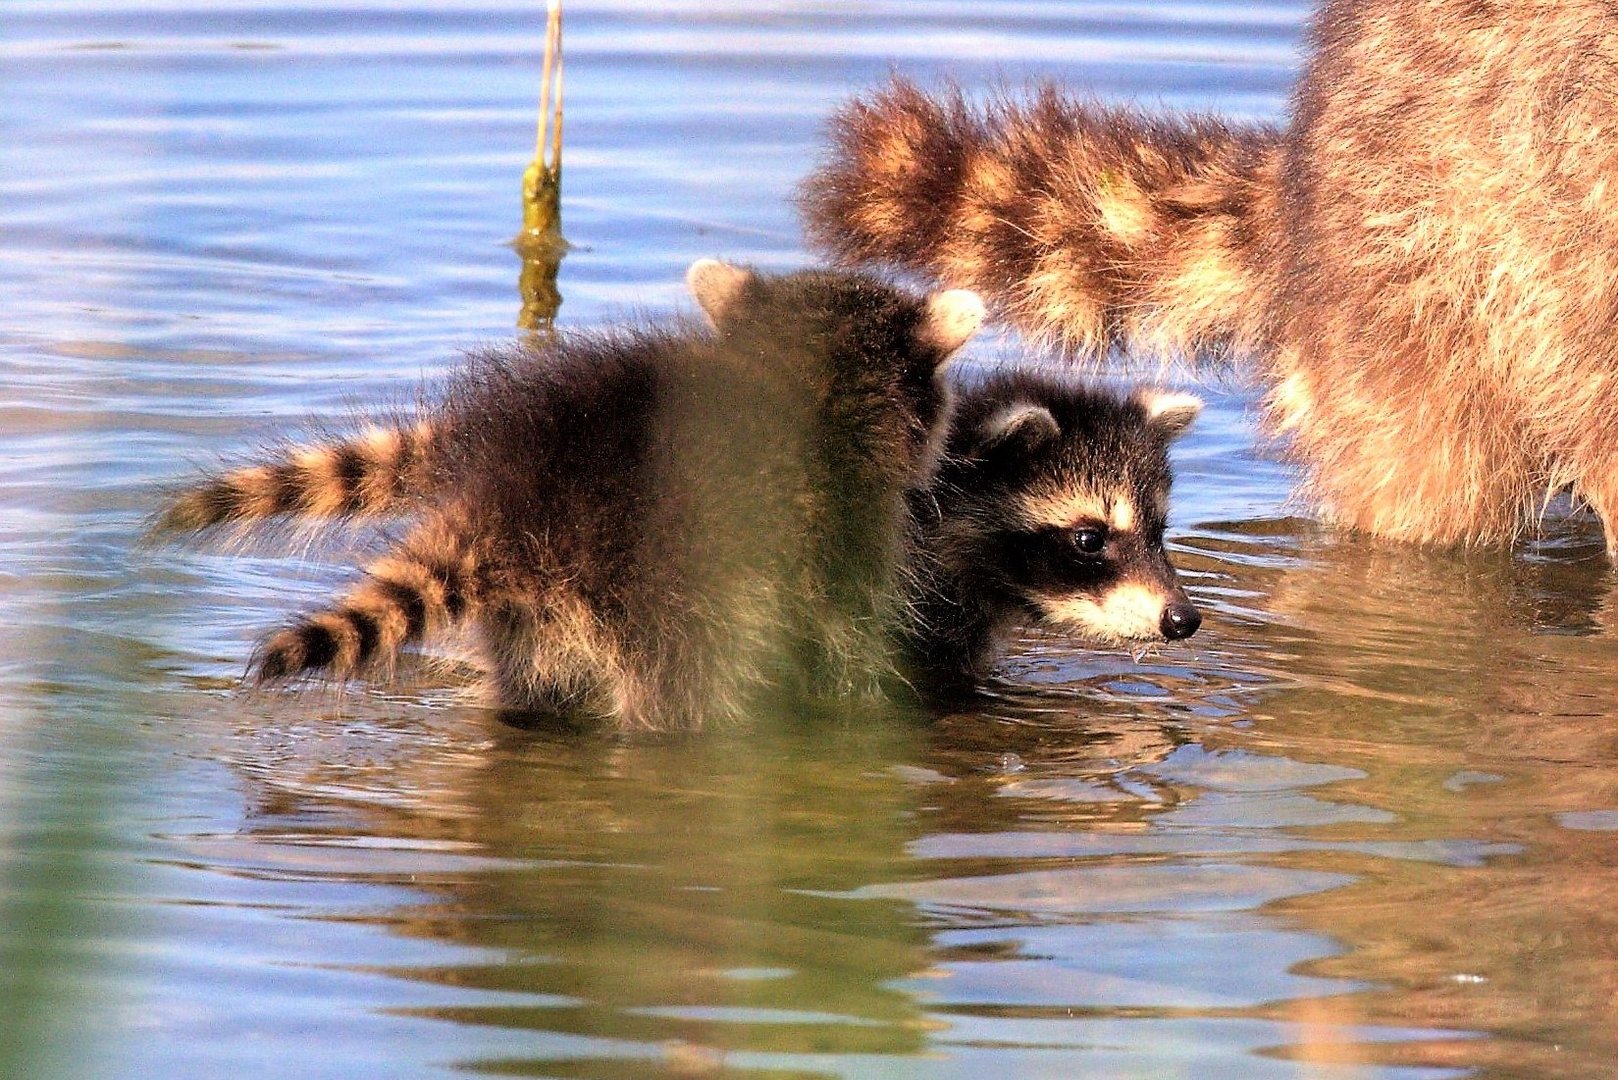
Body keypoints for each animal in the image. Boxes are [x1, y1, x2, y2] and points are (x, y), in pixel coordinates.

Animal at [154, 262, 983, 731]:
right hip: (674, 599)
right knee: (681, 704)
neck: (796, 380)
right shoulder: (842, 547)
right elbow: (847, 659)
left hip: (543, 623)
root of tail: (510, 503)